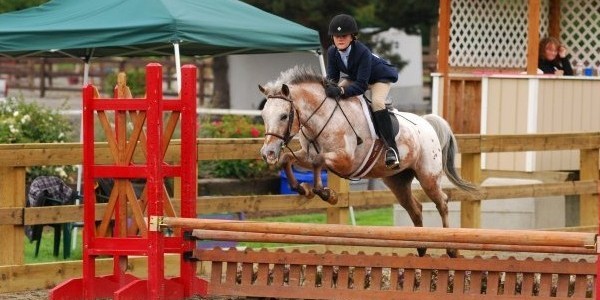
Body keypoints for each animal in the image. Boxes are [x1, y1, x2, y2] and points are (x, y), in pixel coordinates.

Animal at [258, 66, 478, 258]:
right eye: (263, 116)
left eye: (284, 116)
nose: (268, 153)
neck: (322, 119)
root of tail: (426, 122)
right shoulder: (306, 153)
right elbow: (289, 159)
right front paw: (303, 188)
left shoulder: (345, 160)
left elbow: (318, 161)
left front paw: (327, 194)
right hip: (397, 181)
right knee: (415, 208)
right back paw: (421, 246)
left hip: (428, 177)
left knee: (442, 202)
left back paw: (451, 248)